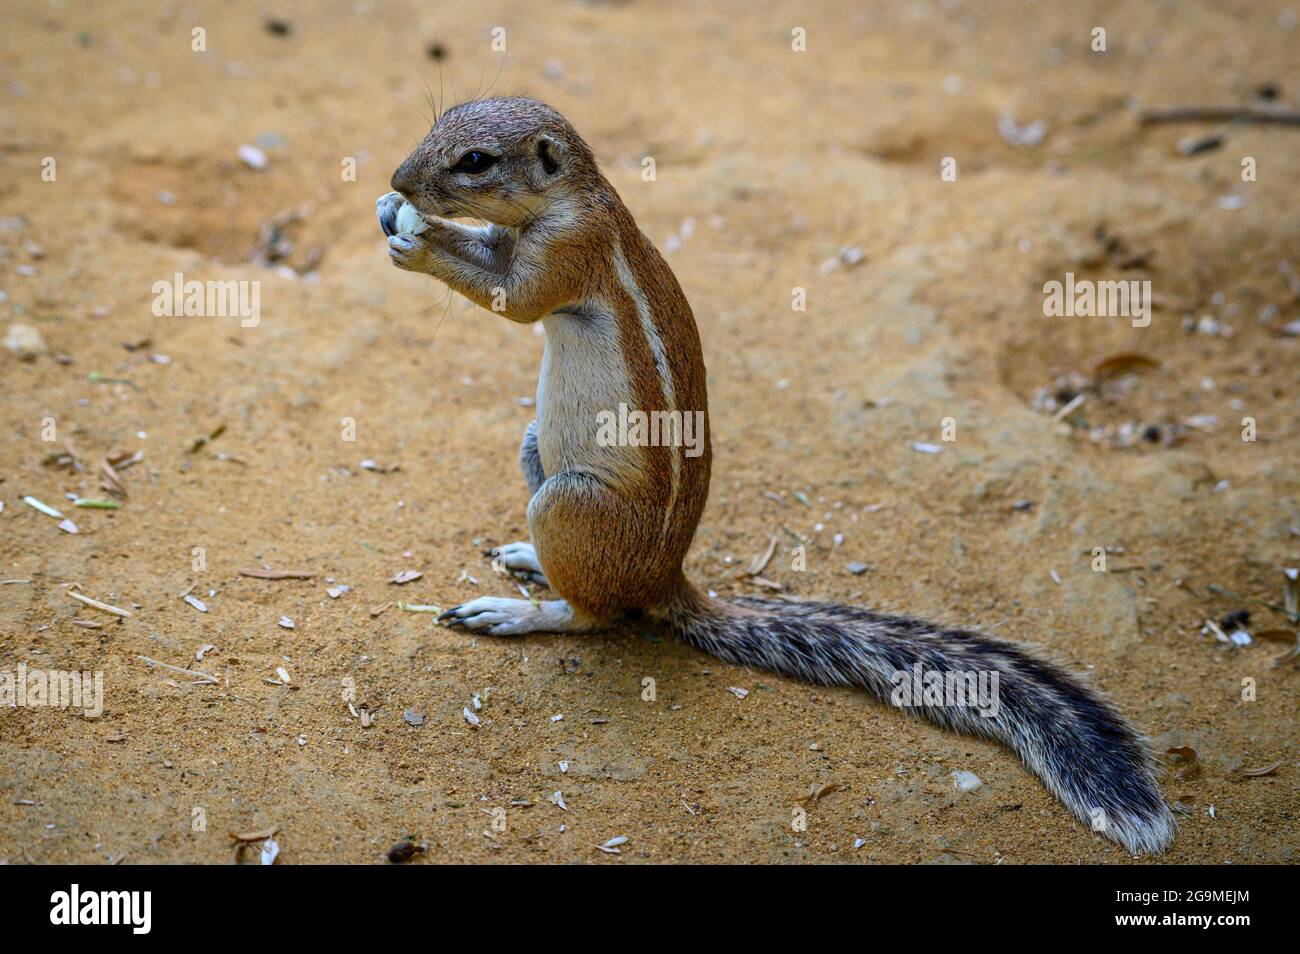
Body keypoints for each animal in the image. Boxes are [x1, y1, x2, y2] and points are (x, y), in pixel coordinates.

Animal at [379, 98, 1180, 857]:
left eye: (476, 161)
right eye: (438, 127)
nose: (397, 180)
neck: (574, 197)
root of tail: (666, 579)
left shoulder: (564, 254)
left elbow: (512, 296)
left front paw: (414, 240)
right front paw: (400, 218)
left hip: (569, 501)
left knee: (596, 614)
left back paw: (516, 610)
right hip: (535, 447)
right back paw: (526, 561)